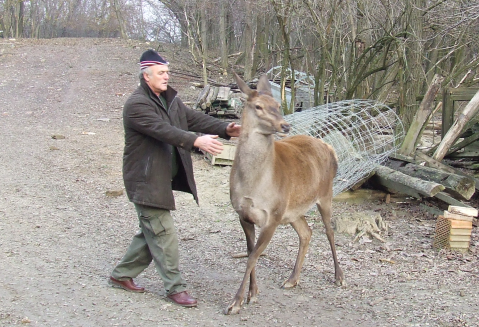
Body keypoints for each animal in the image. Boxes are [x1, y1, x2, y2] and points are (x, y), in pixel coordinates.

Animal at [225, 73, 344, 316]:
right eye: (258, 106)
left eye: (278, 105)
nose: (285, 125)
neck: (254, 185)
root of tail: (329, 147)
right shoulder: (243, 214)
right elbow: (250, 252)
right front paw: (253, 293)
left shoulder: (272, 216)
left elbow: (253, 256)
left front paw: (236, 302)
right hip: (293, 209)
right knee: (307, 232)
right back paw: (292, 279)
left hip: (325, 194)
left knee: (329, 231)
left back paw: (339, 276)